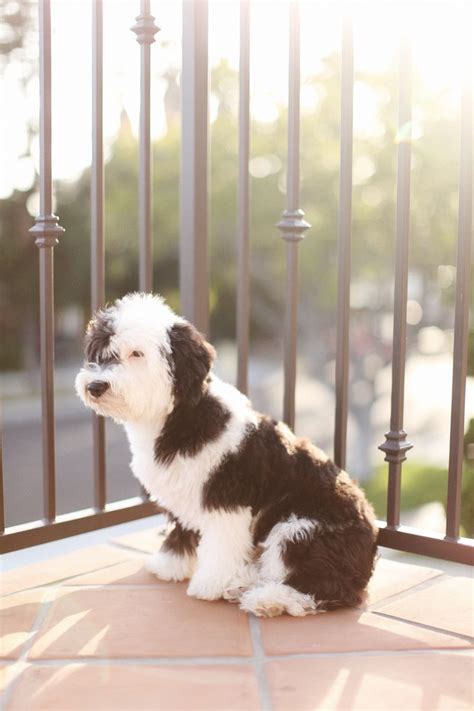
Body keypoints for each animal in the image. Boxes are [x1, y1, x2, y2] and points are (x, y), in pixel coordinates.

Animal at [75, 292, 378, 616]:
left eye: (136, 354)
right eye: (102, 353)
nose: (96, 386)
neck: (182, 416)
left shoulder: (225, 499)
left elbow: (221, 545)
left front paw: (210, 584)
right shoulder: (182, 492)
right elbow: (181, 530)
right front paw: (169, 564)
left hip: (299, 530)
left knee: (325, 589)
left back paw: (267, 599)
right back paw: (243, 583)